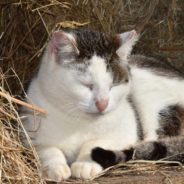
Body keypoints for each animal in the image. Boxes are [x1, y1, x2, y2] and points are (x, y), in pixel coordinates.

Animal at [21, 28, 139, 181]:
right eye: (87, 85)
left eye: (113, 85)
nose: (103, 104)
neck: (79, 121)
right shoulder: (28, 130)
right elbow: (46, 148)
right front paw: (55, 166)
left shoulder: (127, 131)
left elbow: (96, 142)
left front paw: (85, 164)